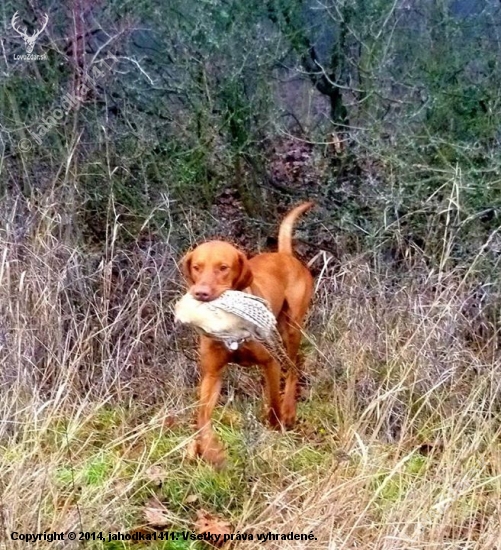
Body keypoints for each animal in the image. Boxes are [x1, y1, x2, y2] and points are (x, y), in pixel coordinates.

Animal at [180, 203, 312, 466]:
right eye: (197, 267)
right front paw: (211, 451)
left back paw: (290, 410)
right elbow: (202, 416)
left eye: (223, 268)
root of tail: (285, 255)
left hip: (292, 328)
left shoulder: (271, 363)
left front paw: (276, 426)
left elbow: (273, 403)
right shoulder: (212, 373)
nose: (200, 293)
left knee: (293, 368)